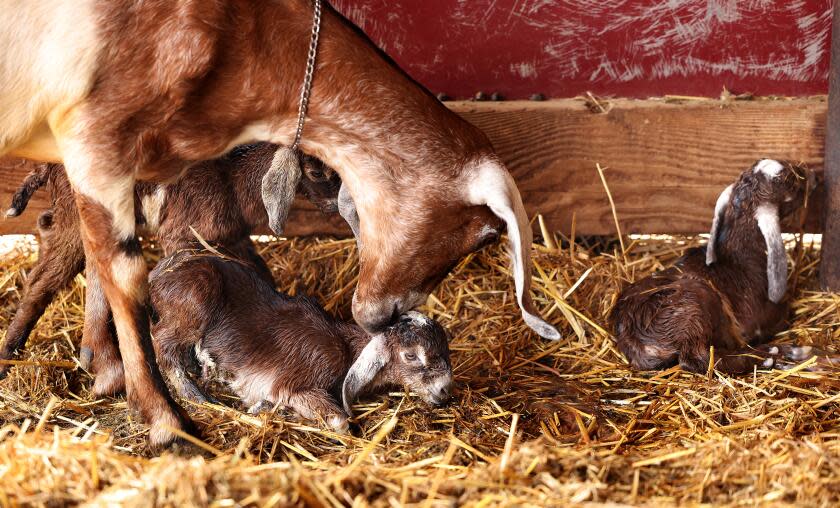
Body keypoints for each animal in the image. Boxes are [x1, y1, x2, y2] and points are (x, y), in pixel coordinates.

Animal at [4, 0, 564, 444]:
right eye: (485, 234)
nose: (384, 316)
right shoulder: (106, 148)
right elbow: (130, 279)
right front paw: (166, 421)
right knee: (64, 266)